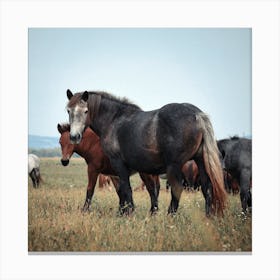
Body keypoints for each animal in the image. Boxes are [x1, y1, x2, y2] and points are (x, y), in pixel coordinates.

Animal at [66, 89, 228, 217]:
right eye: (68, 111)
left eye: (86, 111)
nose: (74, 137)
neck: (114, 120)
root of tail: (197, 115)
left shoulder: (118, 163)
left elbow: (126, 189)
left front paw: (128, 213)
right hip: (200, 161)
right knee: (207, 187)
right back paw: (208, 216)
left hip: (174, 165)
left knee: (177, 188)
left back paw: (170, 216)